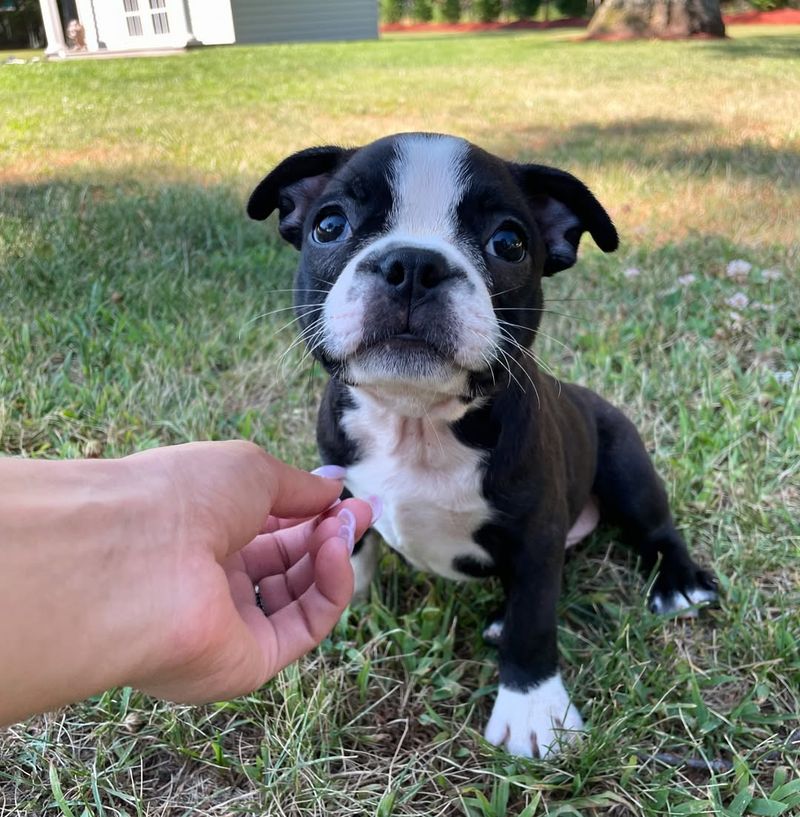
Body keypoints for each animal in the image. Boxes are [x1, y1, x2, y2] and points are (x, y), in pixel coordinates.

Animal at [250, 134, 720, 760]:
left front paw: (533, 710)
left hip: (624, 459)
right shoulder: (342, 485)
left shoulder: (536, 534)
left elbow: (534, 621)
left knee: (655, 528)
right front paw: (333, 601)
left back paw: (679, 584)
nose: (413, 265)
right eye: (329, 226)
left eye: (509, 243)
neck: (417, 421)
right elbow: (349, 546)